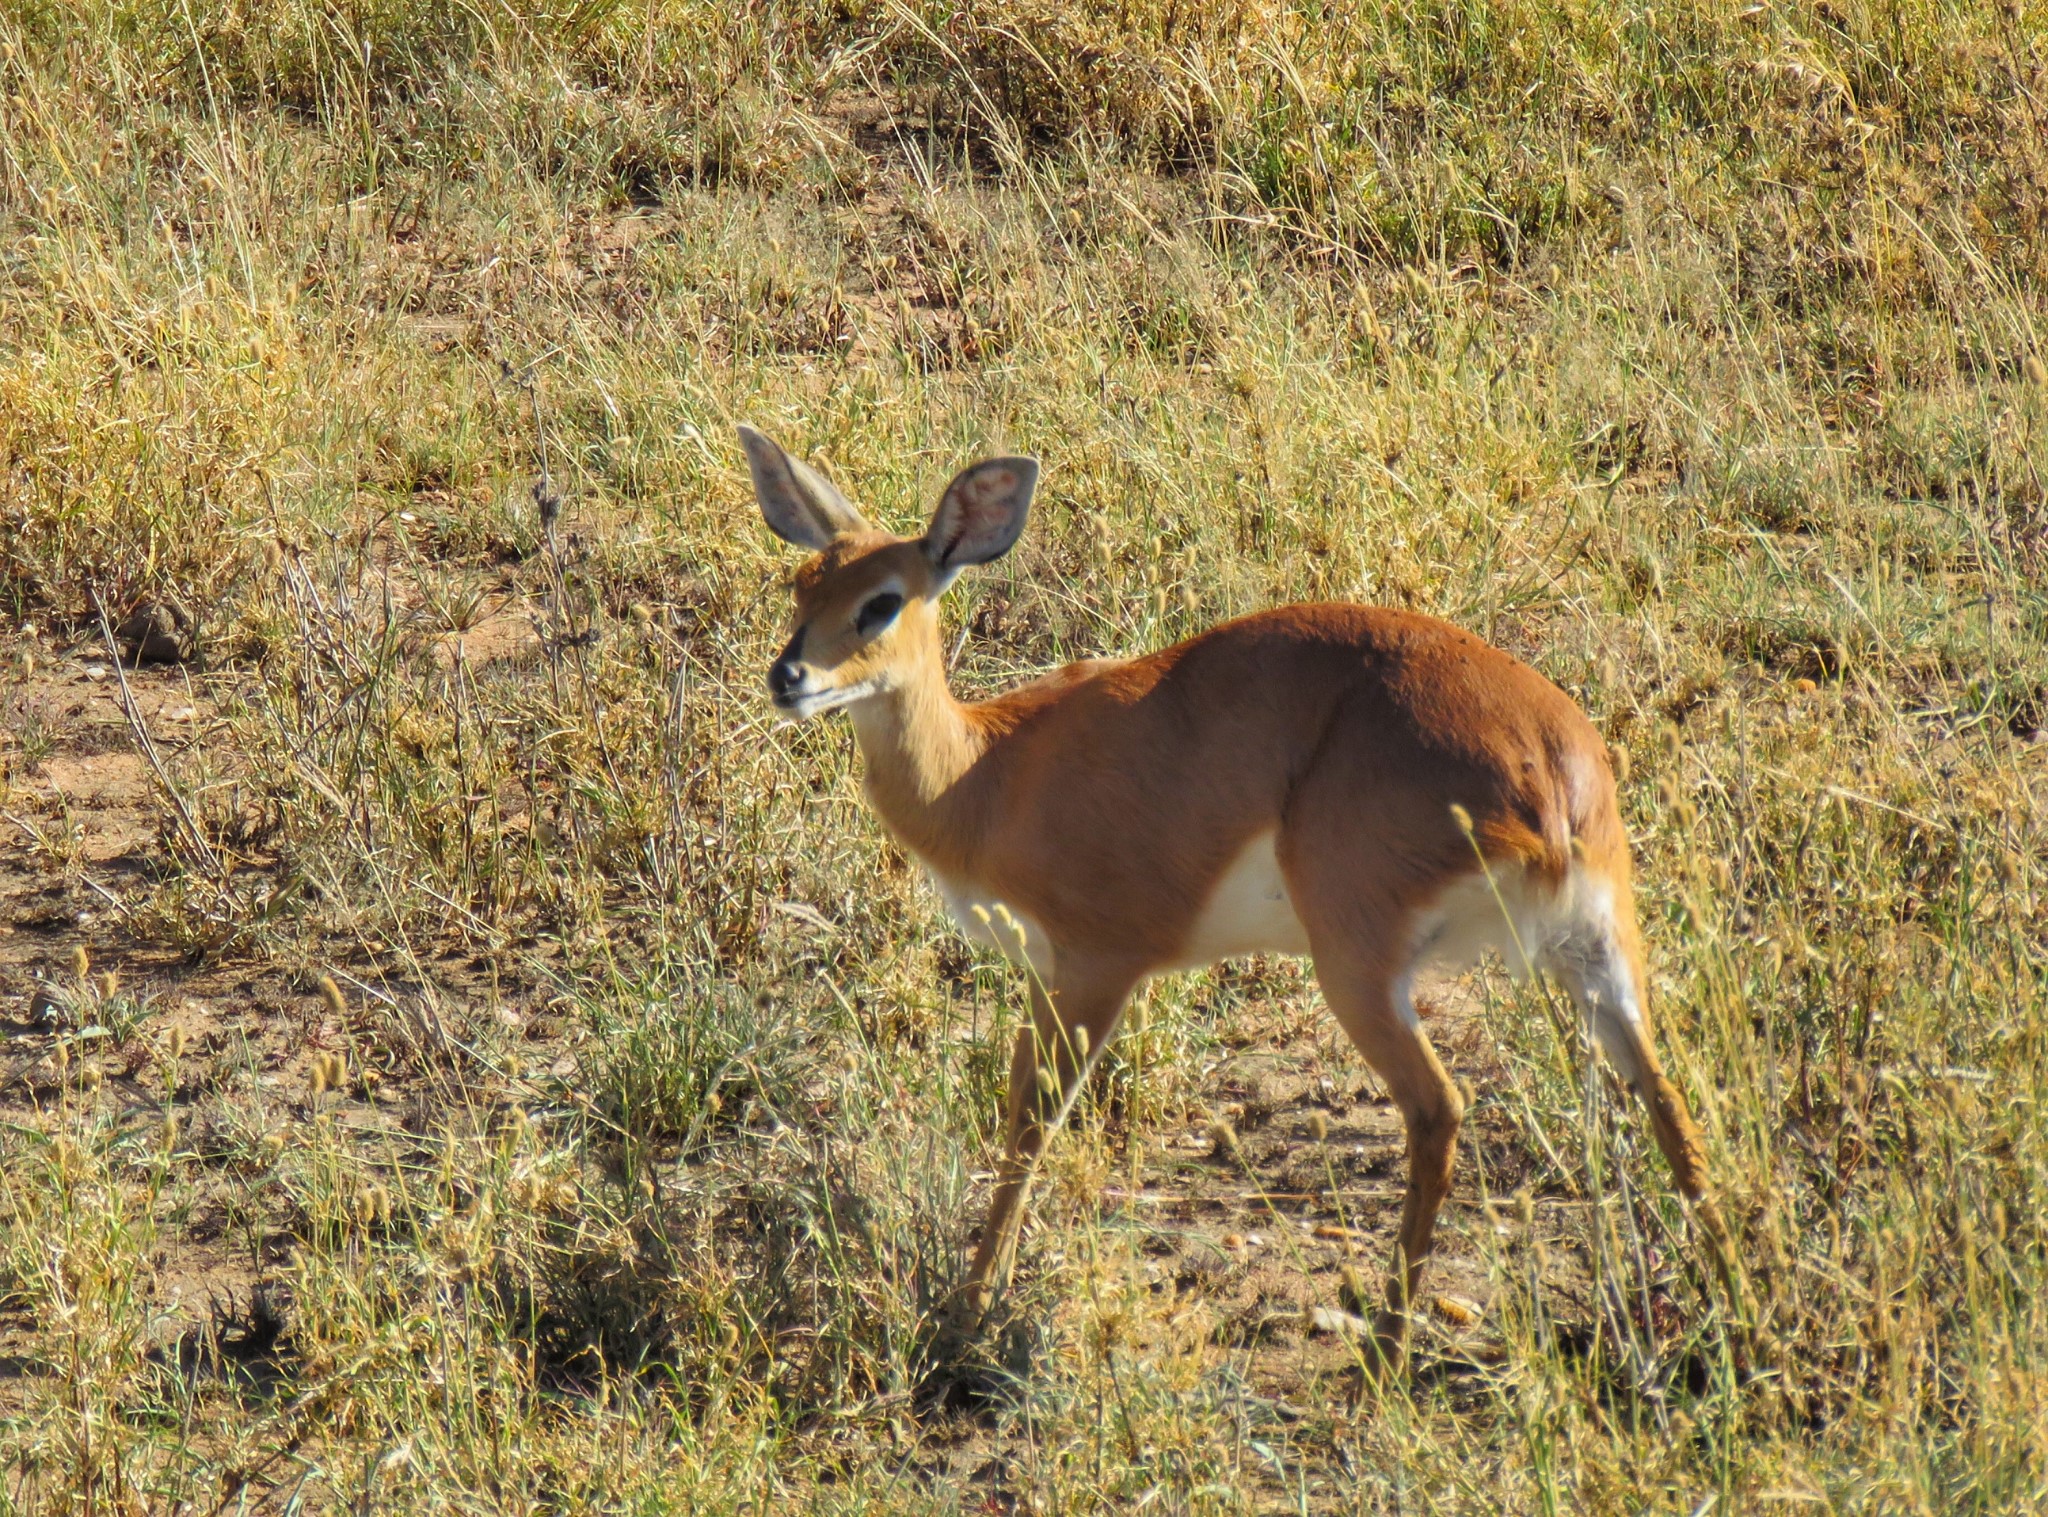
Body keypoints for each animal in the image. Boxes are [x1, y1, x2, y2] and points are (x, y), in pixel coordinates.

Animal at [745, 423, 1720, 1359]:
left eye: (882, 600)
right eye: (803, 583)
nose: (788, 677)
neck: (988, 774)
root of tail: (1548, 773)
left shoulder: (1097, 965)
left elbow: (1033, 1119)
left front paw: (972, 1308)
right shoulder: (1045, 971)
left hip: (1358, 966)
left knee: (1440, 1107)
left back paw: (1387, 1344)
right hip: (1595, 947)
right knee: (1666, 1095)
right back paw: (1727, 1309)